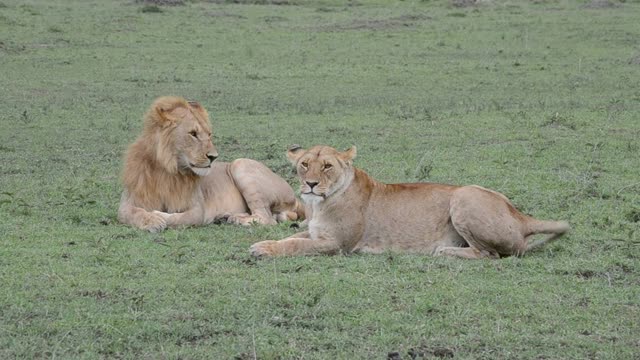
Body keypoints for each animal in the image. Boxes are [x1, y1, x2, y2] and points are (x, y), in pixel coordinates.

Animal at [118, 95, 304, 232]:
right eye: (193, 134)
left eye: (209, 134)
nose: (214, 157)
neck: (167, 169)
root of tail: (295, 198)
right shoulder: (126, 203)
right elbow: (133, 213)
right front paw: (151, 220)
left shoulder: (198, 209)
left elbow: (181, 217)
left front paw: (158, 216)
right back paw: (226, 217)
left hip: (240, 164)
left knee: (267, 218)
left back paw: (236, 219)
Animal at [250, 143, 568, 258]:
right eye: (304, 164)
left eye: (327, 166)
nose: (311, 184)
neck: (319, 205)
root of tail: (522, 217)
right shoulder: (318, 233)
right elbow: (292, 237)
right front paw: (264, 242)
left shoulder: (337, 244)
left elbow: (295, 244)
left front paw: (263, 250)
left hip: (464, 196)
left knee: (489, 255)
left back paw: (445, 252)